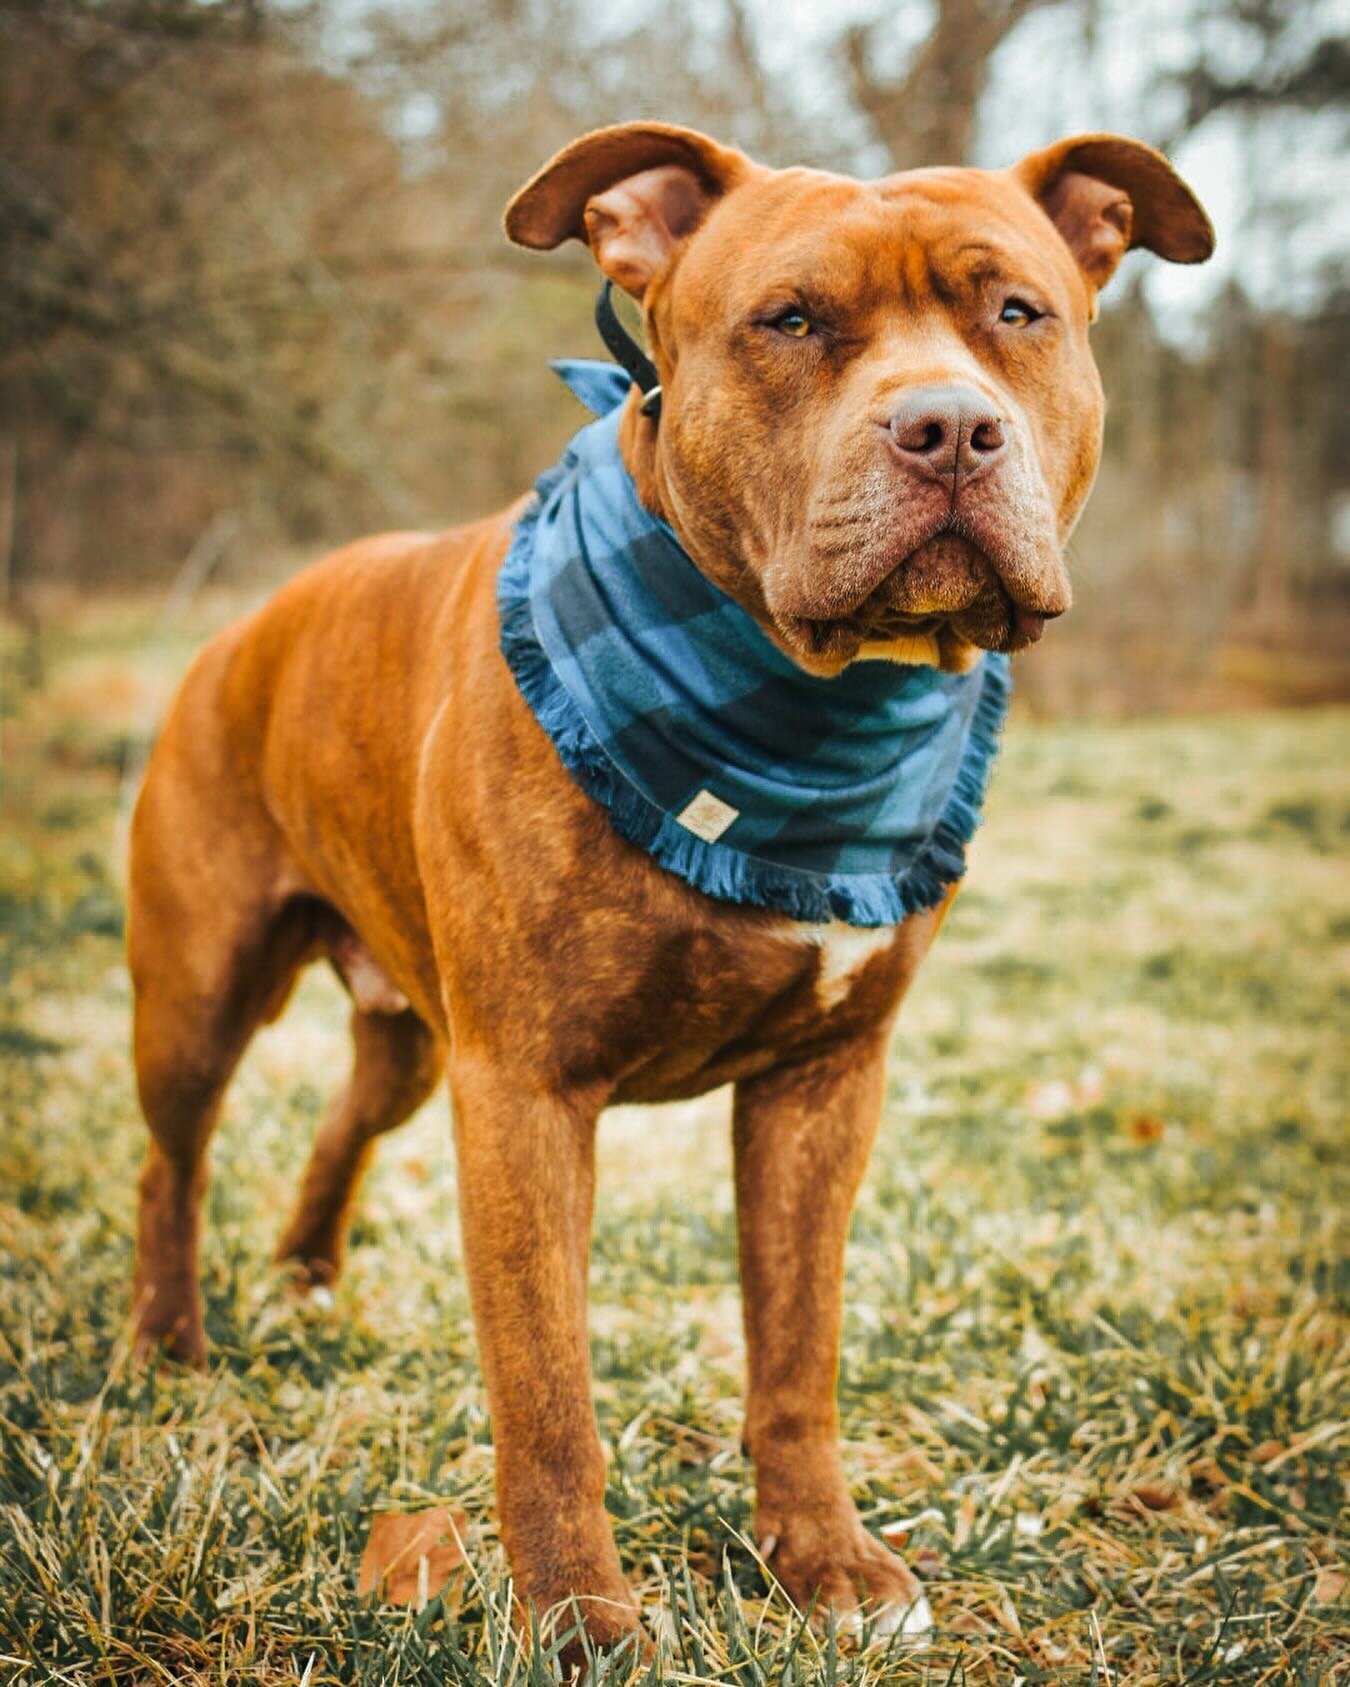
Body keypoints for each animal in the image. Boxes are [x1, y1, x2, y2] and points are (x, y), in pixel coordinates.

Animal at [126, 128, 1215, 1646]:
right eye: (790, 321)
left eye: (1017, 313)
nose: (948, 427)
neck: (810, 709)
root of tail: (247, 626)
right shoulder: (523, 1092)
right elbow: (545, 1391)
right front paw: (578, 1615)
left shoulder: (823, 1084)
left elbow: (797, 1349)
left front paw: (821, 1557)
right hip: (201, 993)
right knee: (171, 1158)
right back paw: (167, 1339)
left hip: (410, 1036)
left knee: (341, 1123)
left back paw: (304, 1278)